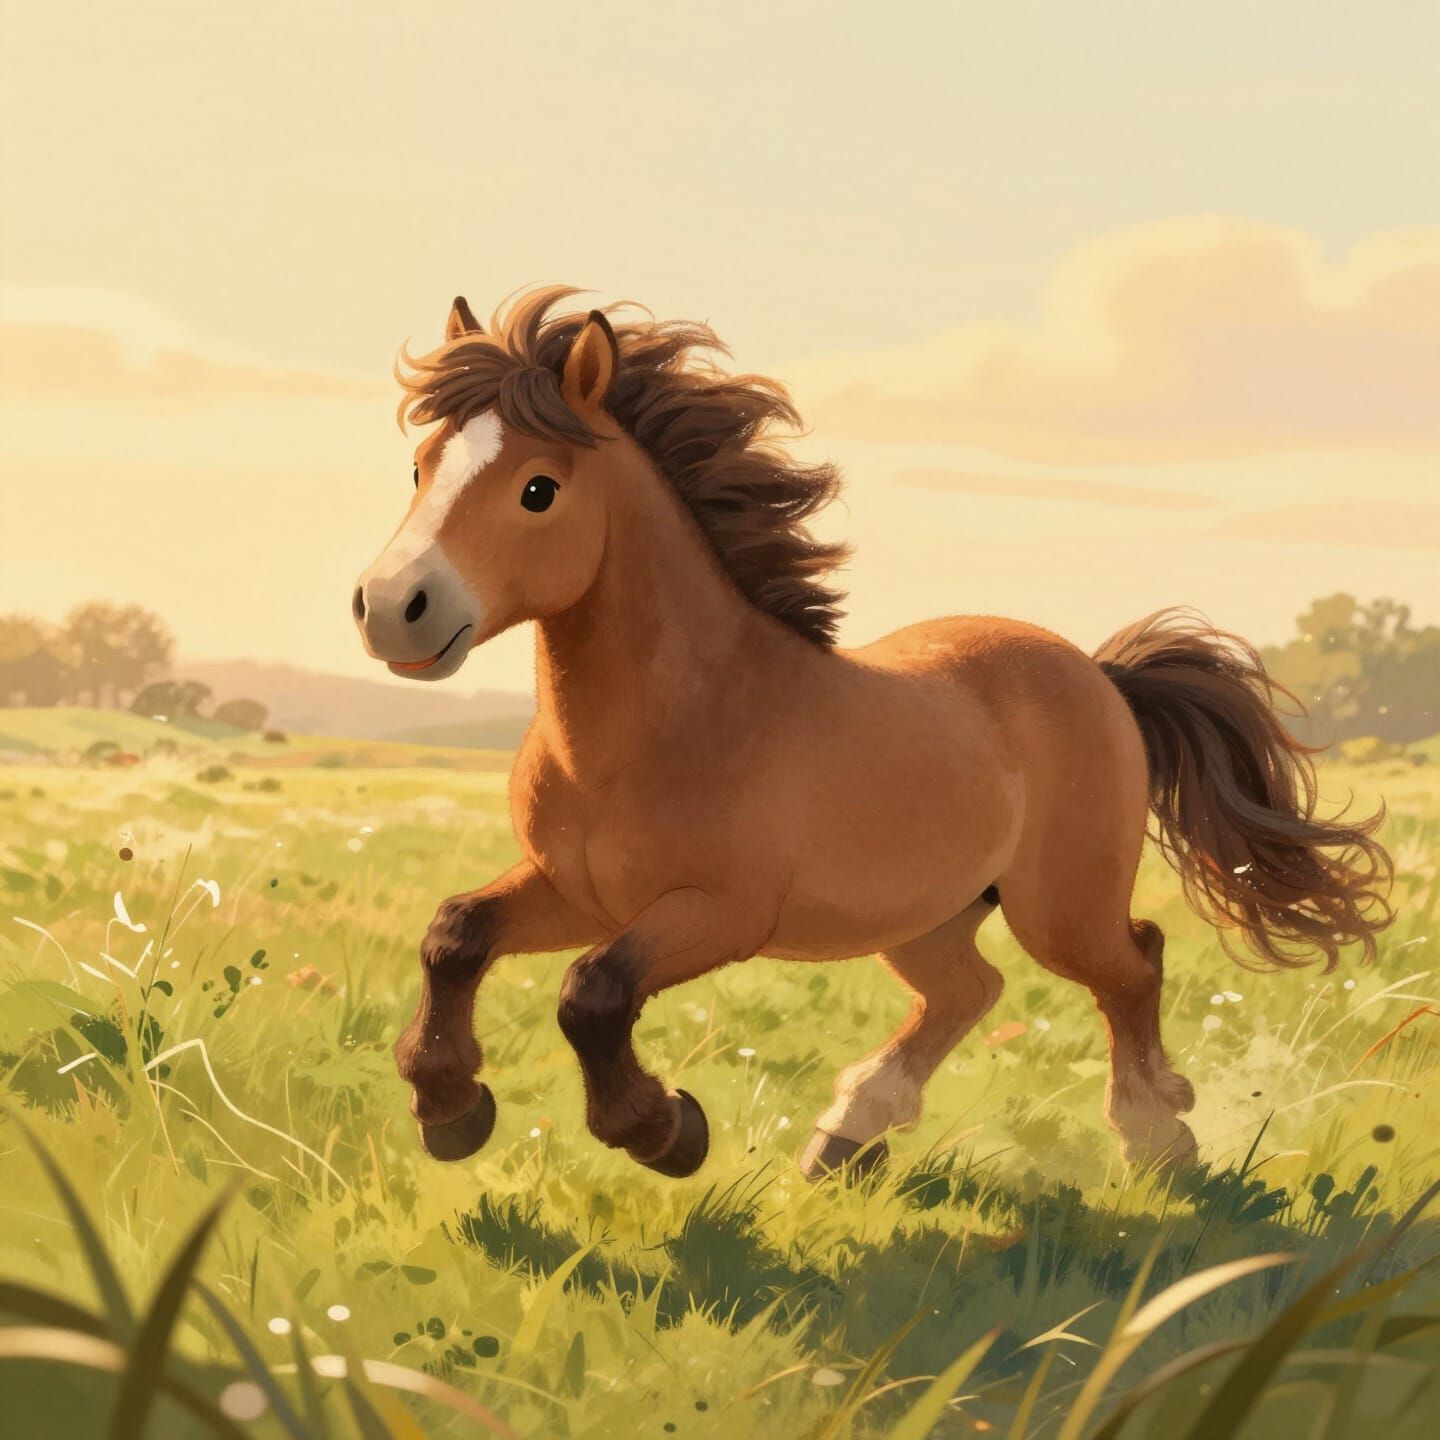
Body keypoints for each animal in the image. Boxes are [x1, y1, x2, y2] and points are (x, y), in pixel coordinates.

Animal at [352, 287, 1392, 1181]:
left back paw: (1153, 1137)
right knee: (971, 990)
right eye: (421, 467)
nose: (391, 609)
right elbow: (455, 935)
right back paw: (847, 1136)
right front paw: (450, 1112)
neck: (662, 727)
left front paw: (666, 1132)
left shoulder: (720, 912)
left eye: (539, 490)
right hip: (929, 913)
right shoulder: (578, 890)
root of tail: (1100, 674)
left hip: (1058, 908)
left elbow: (592, 993)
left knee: (1133, 964)